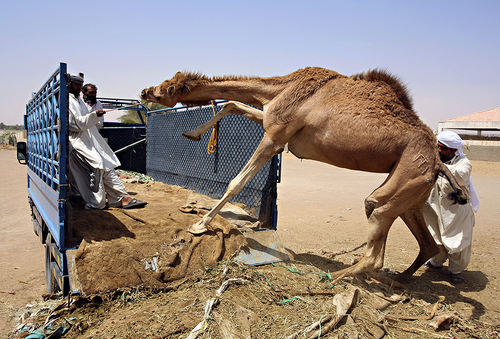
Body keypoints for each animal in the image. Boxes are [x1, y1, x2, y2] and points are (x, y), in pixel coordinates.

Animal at [142, 67, 468, 282]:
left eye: (166, 87)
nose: (145, 91)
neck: (282, 88)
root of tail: (437, 162)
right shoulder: (275, 125)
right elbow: (234, 103)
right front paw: (192, 133)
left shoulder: (276, 135)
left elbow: (236, 182)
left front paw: (200, 223)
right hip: (415, 189)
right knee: (426, 241)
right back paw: (401, 278)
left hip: (407, 175)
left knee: (375, 221)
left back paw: (335, 279)